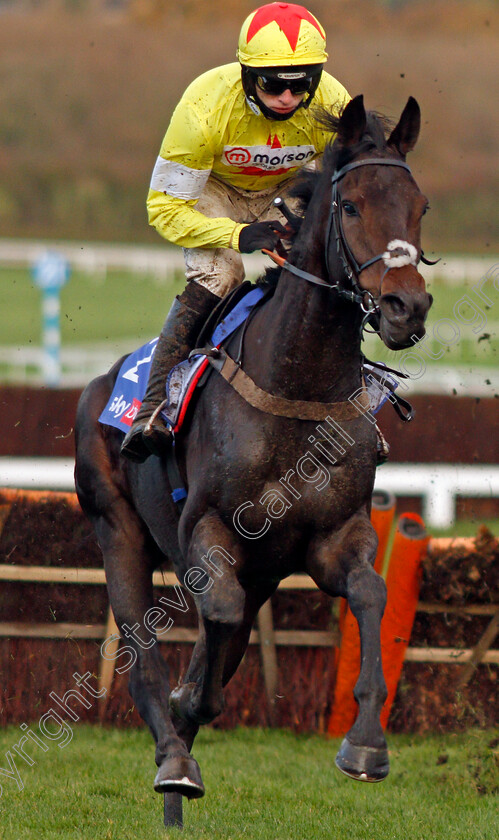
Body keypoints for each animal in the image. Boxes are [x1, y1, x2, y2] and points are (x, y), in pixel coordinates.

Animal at [74, 98, 434, 828]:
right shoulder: (207, 530)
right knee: (142, 653)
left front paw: (365, 745)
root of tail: (97, 385)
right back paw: (174, 759)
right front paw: (188, 711)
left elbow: (369, 592)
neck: (297, 383)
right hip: (116, 528)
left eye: (420, 206)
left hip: (263, 569)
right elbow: (213, 615)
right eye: (350, 204)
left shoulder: (332, 537)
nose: (406, 307)